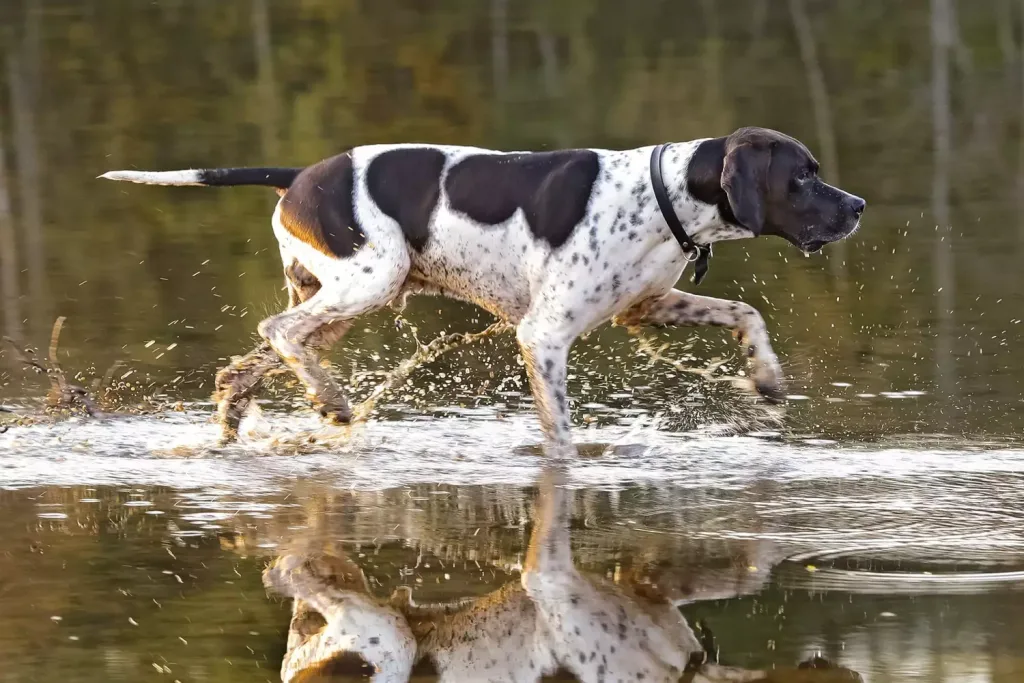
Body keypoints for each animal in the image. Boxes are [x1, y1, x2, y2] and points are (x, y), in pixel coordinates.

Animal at [101, 127, 864, 450]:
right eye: (802, 176)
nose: (856, 206)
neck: (662, 193)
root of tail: (300, 175)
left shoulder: (646, 309)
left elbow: (747, 311)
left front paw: (766, 378)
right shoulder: (544, 335)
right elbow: (559, 428)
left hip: (340, 300)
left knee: (246, 363)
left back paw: (237, 422)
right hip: (368, 282)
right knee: (278, 334)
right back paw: (331, 400)